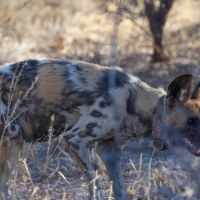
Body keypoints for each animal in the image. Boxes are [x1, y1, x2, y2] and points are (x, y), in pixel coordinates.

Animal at [0, 58, 200, 199]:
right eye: (191, 121)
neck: (136, 102)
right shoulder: (75, 139)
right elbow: (95, 189)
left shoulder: (109, 151)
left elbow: (120, 191)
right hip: (14, 139)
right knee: (5, 190)